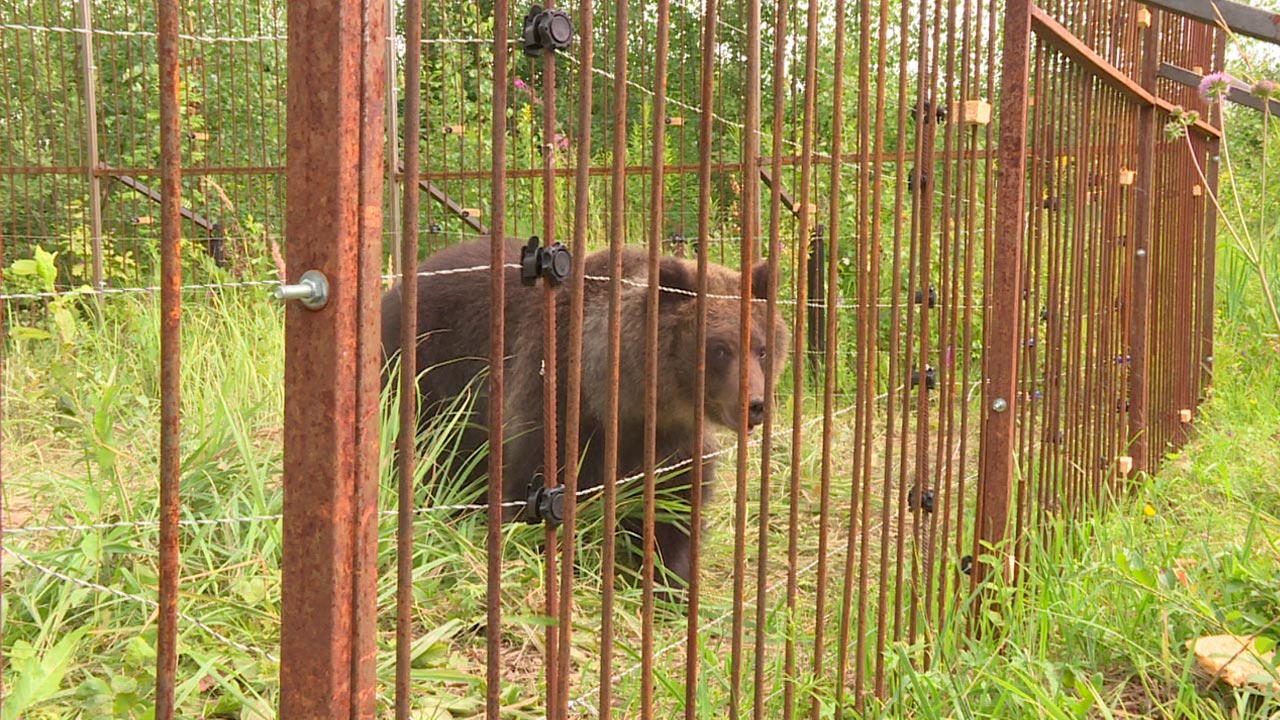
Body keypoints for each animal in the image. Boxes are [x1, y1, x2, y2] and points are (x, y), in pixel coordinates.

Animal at [373, 238, 783, 586]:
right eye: (719, 348)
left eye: (762, 348)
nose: (756, 405)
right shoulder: (554, 404)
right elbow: (529, 491)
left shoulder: (673, 442)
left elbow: (673, 512)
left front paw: (670, 583)